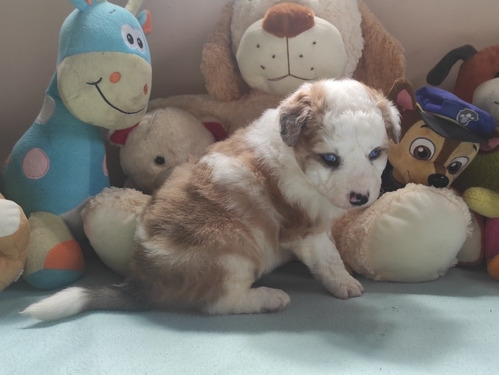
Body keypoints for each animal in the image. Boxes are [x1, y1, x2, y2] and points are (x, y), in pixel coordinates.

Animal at [22, 79, 398, 320]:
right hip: (232, 255)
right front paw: (345, 283)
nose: (360, 197)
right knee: (217, 304)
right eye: (330, 159)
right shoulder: (305, 230)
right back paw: (268, 298)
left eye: (375, 153)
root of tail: (143, 280)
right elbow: (329, 259)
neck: (295, 159)